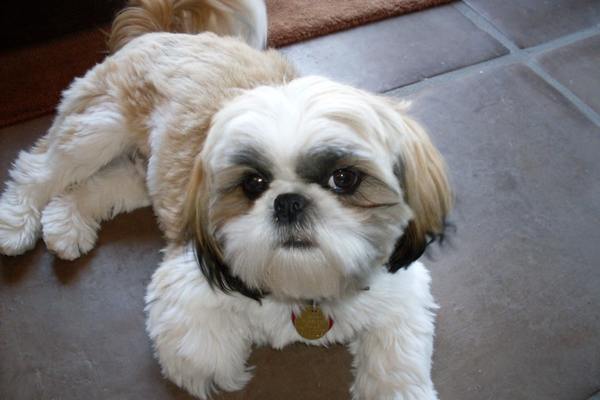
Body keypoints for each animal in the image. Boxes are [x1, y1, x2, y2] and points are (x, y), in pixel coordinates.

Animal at [0, 0, 450, 398]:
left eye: (344, 178)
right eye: (253, 183)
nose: (289, 202)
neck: (302, 286)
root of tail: (164, 31)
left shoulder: (400, 289)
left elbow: (399, 355)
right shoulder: (189, 273)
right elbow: (200, 352)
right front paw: (226, 370)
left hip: (147, 172)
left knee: (94, 186)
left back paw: (66, 224)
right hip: (100, 126)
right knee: (38, 169)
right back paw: (16, 222)